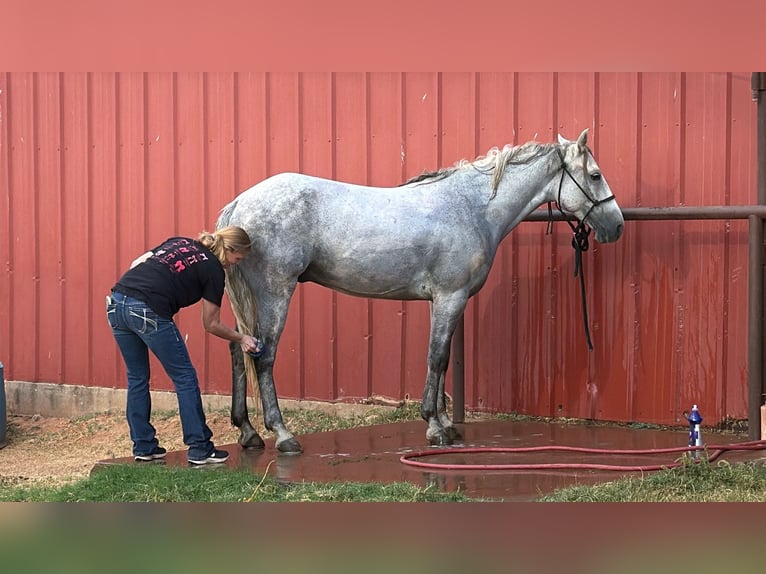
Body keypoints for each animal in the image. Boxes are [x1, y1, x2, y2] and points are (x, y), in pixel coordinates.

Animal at [217, 128, 624, 453]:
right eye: (595, 175)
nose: (617, 225)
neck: (471, 207)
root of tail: (238, 204)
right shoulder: (450, 297)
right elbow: (437, 358)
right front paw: (434, 427)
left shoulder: (442, 301)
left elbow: (440, 360)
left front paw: (444, 424)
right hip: (275, 291)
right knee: (263, 356)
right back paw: (283, 435)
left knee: (239, 349)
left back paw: (248, 433)